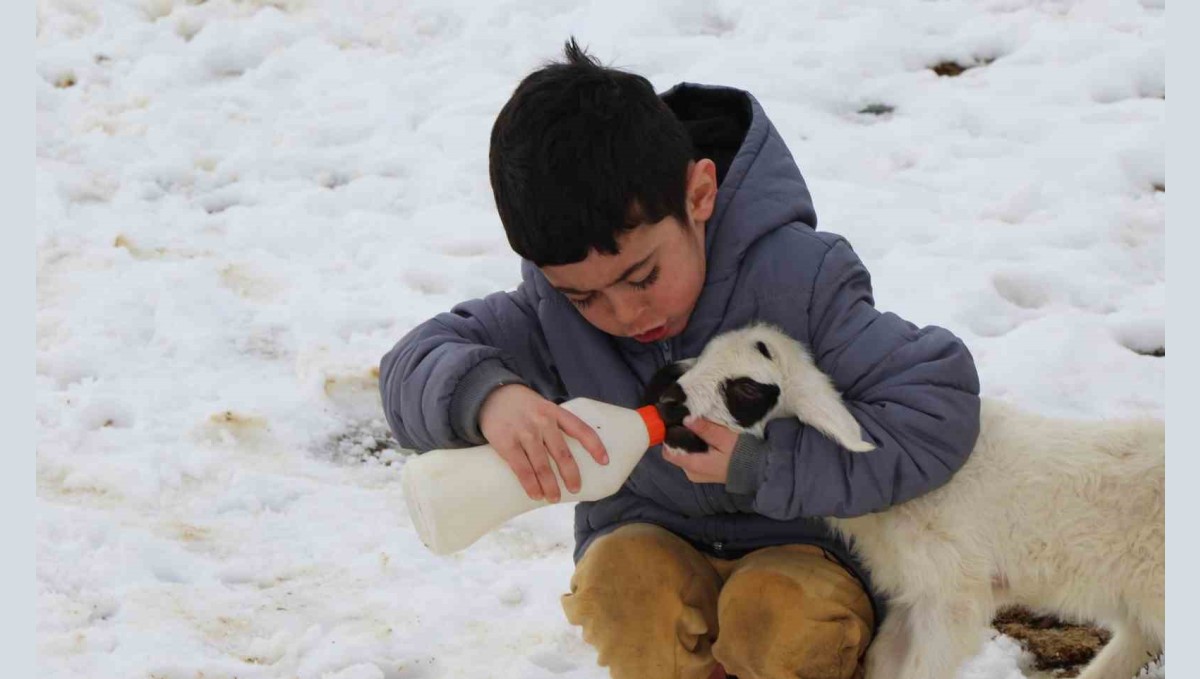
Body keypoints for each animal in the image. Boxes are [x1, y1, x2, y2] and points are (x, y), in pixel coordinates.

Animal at [648, 323, 1161, 679]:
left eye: (747, 387)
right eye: (703, 358)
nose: (669, 400)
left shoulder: (952, 593)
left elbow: (921, 668)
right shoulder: (912, 594)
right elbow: (883, 661)